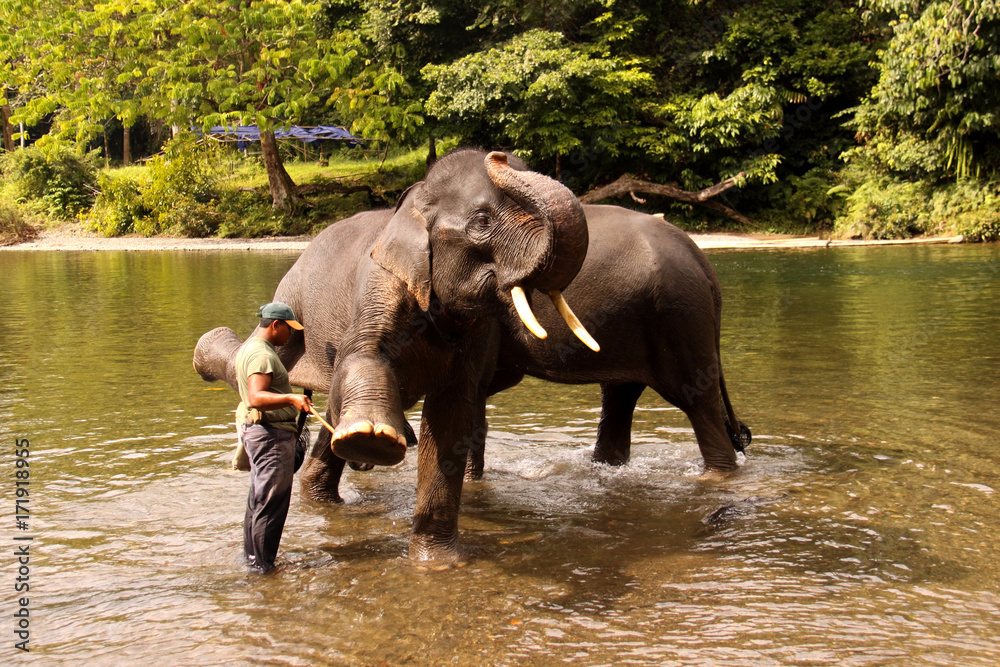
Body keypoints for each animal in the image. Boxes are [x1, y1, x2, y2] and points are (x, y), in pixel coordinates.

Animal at [194, 149, 599, 564]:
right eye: (483, 221)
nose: (497, 155)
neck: (415, 204)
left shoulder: (478, 332)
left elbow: (452, 415)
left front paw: (437, 564)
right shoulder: (381, 282)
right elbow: (364, 355)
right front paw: (373, 437)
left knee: (332, 413)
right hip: (293, 305)